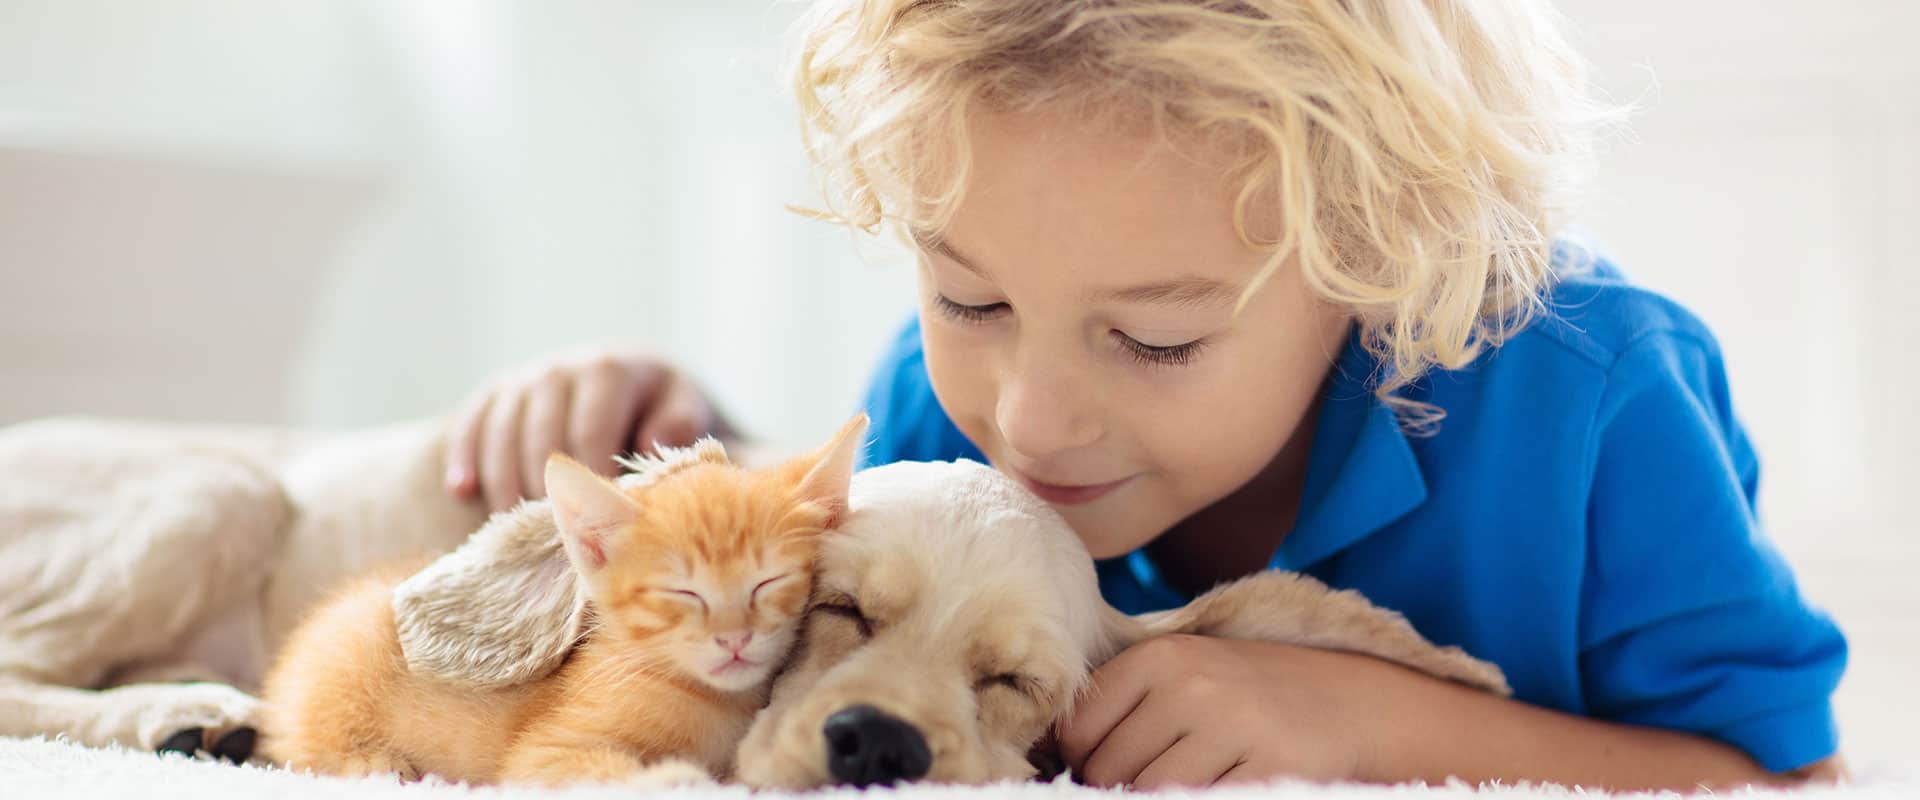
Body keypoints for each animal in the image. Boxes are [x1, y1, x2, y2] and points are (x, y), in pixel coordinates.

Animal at [253, 414, 864, 782]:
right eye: (682, 592)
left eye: (769, 582)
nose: (734, 638)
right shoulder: (544, 756)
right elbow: (609, 772)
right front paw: (678, 779)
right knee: (302, 750)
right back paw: (374, 762)